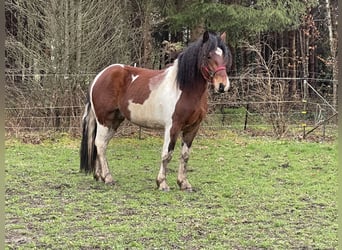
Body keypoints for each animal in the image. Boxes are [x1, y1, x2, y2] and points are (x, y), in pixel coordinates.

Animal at [79, 31, 232, 191]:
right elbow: (167, 154)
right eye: (208, 56)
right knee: (100, 144)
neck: (185, 89)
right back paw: (108, 178)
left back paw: (99, 176)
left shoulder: (192, 128)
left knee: (100, 144)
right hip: (104, 120)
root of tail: (99, 76)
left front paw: (184, 183)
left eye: (224, 56)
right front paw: (162, 183)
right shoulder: (172, 127)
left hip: (114, 121)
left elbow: (185, 156)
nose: (222, 85)